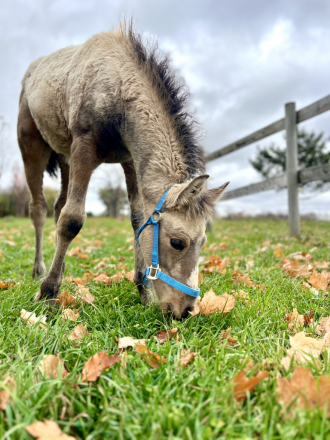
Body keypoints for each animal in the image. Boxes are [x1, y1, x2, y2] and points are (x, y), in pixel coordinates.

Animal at [17, 22, 227, 318]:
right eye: (177, 242)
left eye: (204, 242)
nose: (186, 310)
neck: (115, 86)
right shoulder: (83, 149)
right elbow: (71, 220)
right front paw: (48, 293)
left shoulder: (129, 162)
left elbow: (137, 220)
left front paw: (143, 292)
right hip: (32, 147)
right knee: (39, 208)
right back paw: (40, 271)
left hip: (64, 156)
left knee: (58, 206)